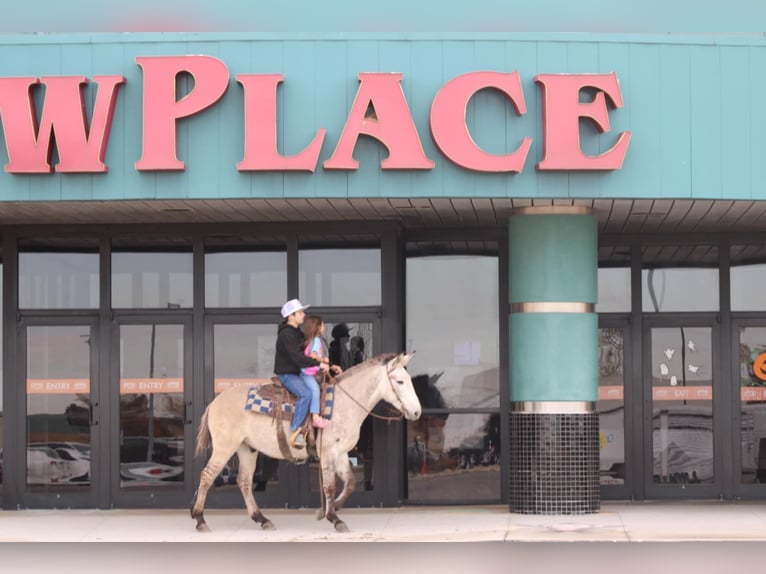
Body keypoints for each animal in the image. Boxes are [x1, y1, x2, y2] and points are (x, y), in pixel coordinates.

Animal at [190, 354, 420, 532]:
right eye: (400, 381)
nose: (417, 412)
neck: (343, 403)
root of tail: (214, 402)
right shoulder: (328, 452)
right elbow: (329, 486)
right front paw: (334, 519)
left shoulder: (341, 452)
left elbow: (350, 483)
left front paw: (325, 511)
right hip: (224, 447)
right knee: (207, 476)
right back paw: (200, 520)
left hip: (247, 449)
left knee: (244, 481)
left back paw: (262, 519)